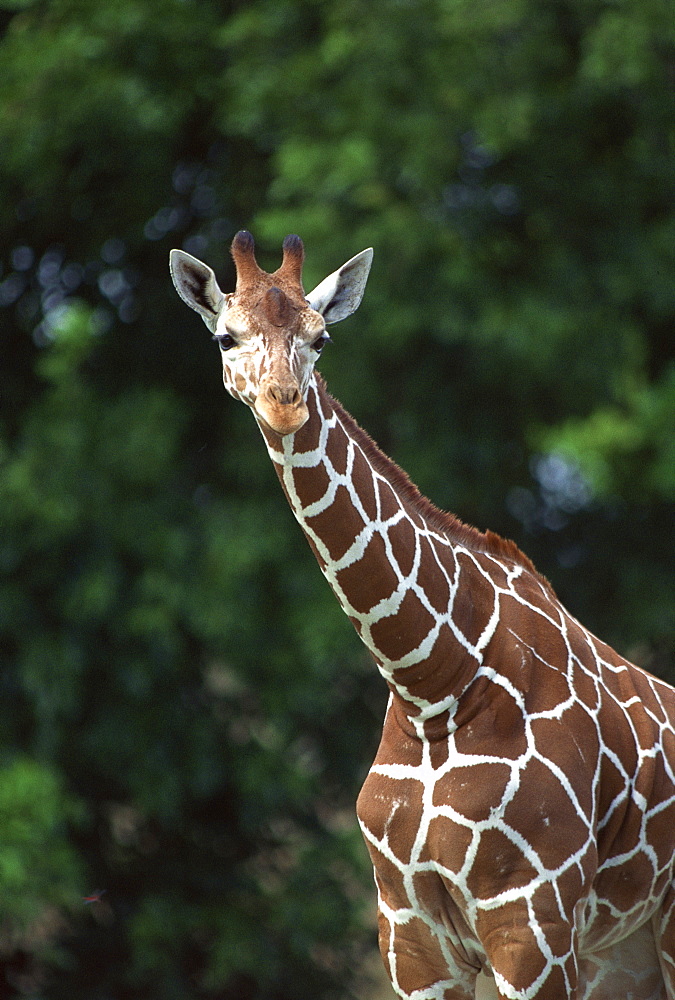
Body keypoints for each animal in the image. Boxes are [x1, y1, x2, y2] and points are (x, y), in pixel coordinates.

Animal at [172, 232, 675, 1000]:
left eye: (321, 338)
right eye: (226, 336)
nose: (285, 404)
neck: (432, 683)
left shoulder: (531, 921)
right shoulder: (410, 936)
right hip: (624, 956)